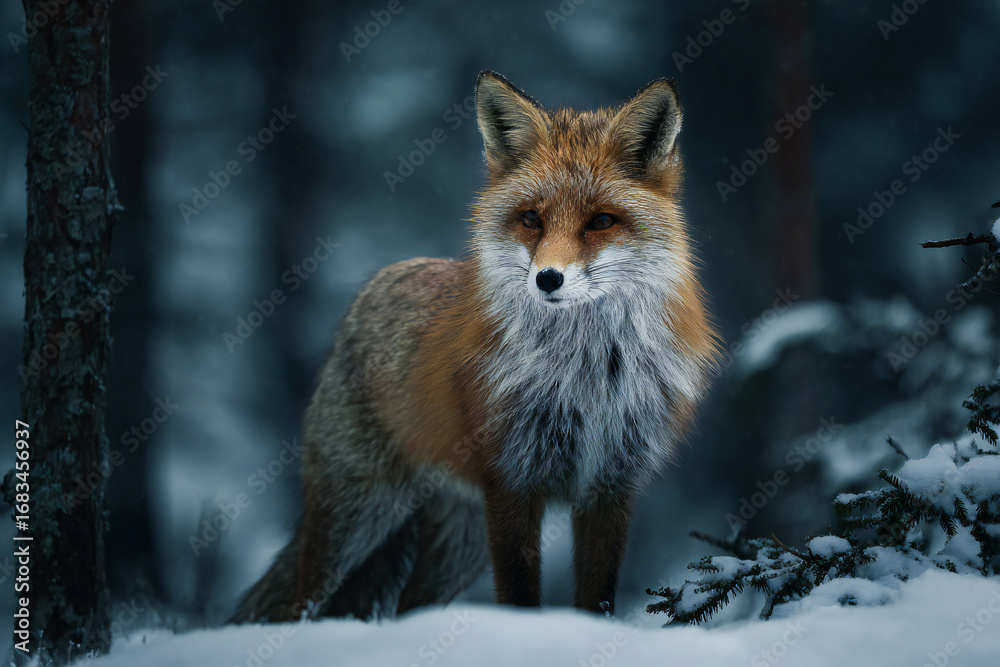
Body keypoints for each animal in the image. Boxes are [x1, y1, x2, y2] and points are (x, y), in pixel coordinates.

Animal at [230, 70, 718, 623]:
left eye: (601, 221)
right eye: (531, 219)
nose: (548, 279)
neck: (585, 374)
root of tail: (374, 288)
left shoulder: (610, 486)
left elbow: (599, 598)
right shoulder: (510, 480)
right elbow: (520, 595)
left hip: (456, 541)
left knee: (409, 606)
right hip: (359, 514)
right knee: (302, 602)